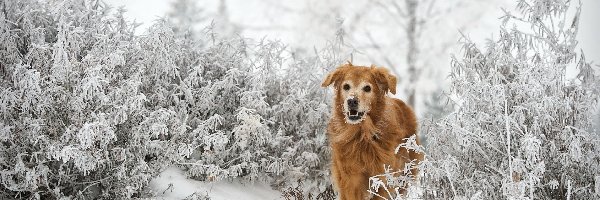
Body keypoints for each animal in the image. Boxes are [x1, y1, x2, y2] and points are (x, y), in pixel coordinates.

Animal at [324, 63, 422, 200]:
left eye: (367, 88)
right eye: (346, 86)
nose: (352, 101)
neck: (362, 135)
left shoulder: (383, 179)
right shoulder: (350, 180)